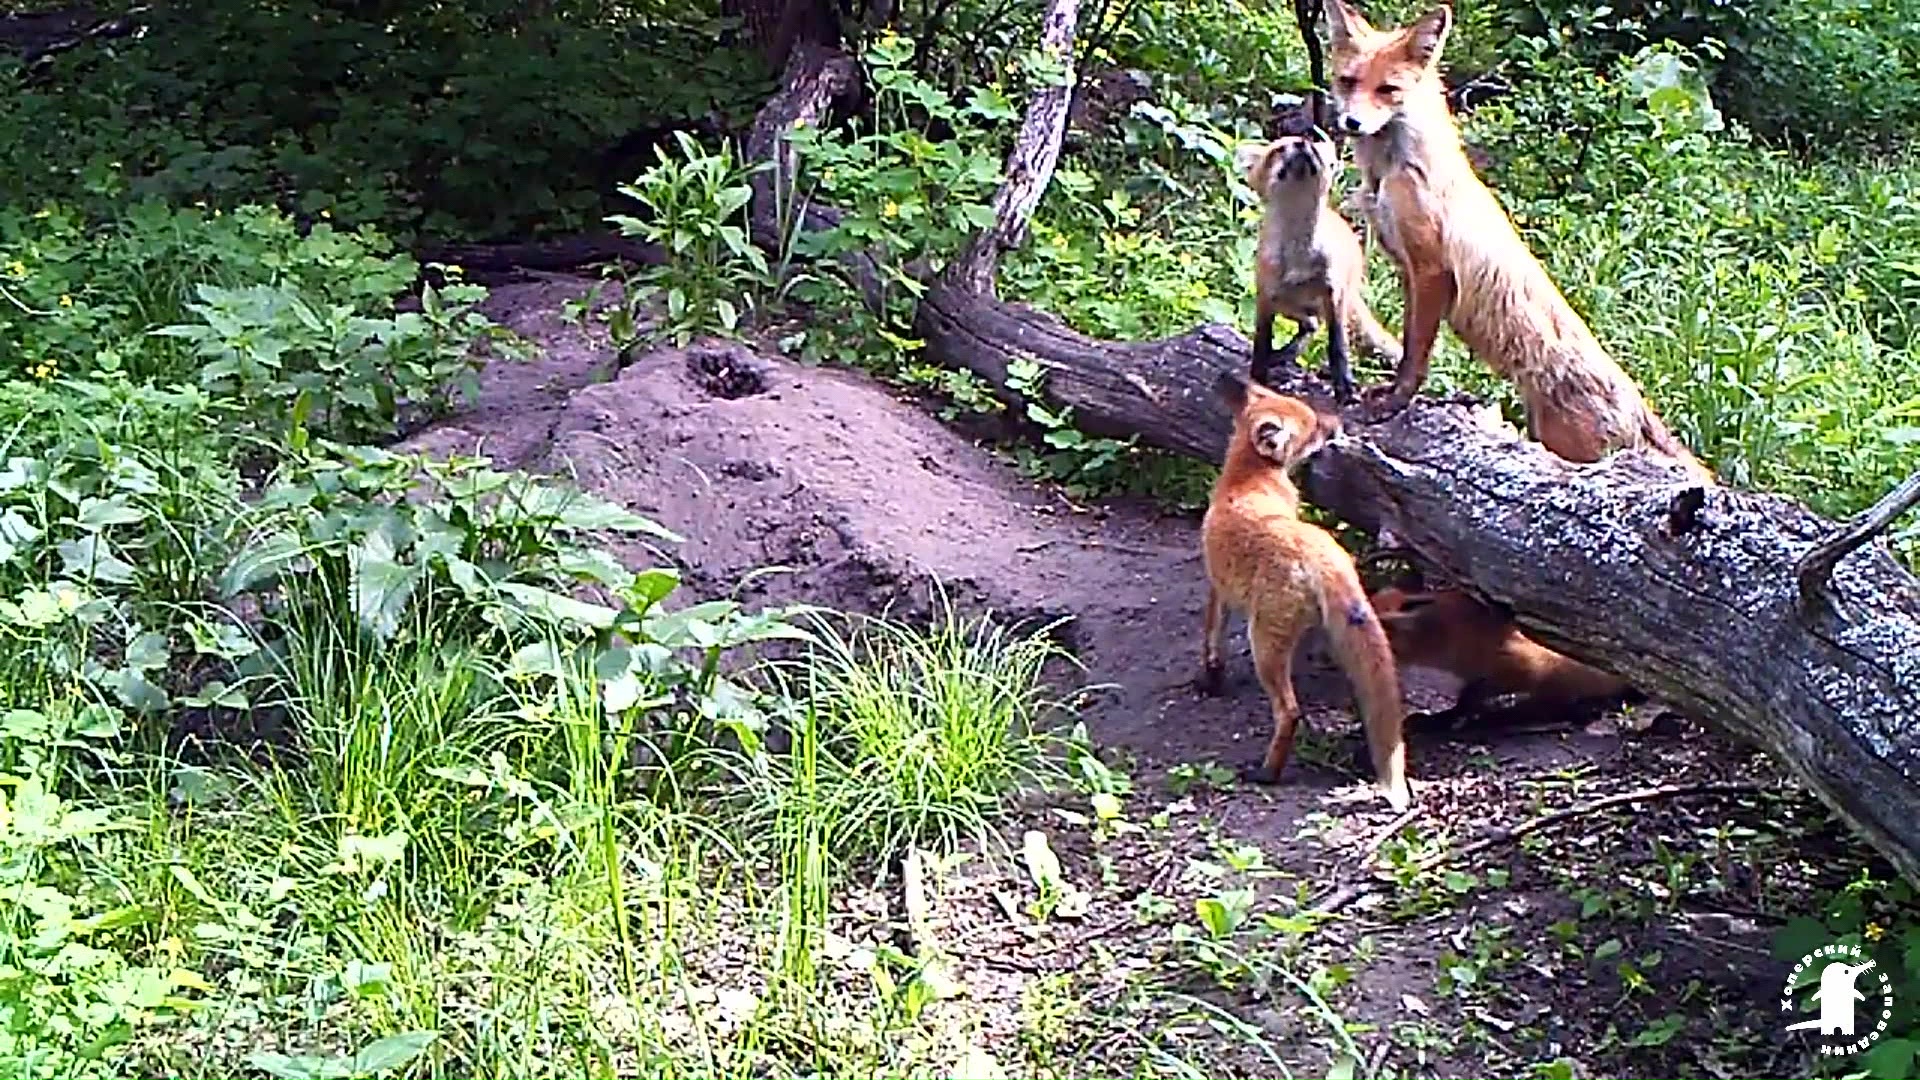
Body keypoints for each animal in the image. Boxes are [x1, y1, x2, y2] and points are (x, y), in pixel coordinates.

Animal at [1198, 374, 1413, 803]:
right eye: (1314, 426)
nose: (1338, 423)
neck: (1246, 481)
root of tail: (1321, 552)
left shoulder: (1217, 585)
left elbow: (1211, 639)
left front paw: (1209, 680)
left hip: (1263, 643)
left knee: (1290, 711)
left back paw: (1268, 772)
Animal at [1320, 0, 1712, 478]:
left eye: (1388, 89)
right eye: (1348, 81)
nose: (1351, 122)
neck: (1393, 171)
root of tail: (1637, 401)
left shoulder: (1433, 270)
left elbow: (1416, 354)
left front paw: (1396, 402)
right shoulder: (1407, 268)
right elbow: (1408, 343)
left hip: (1568, 444)